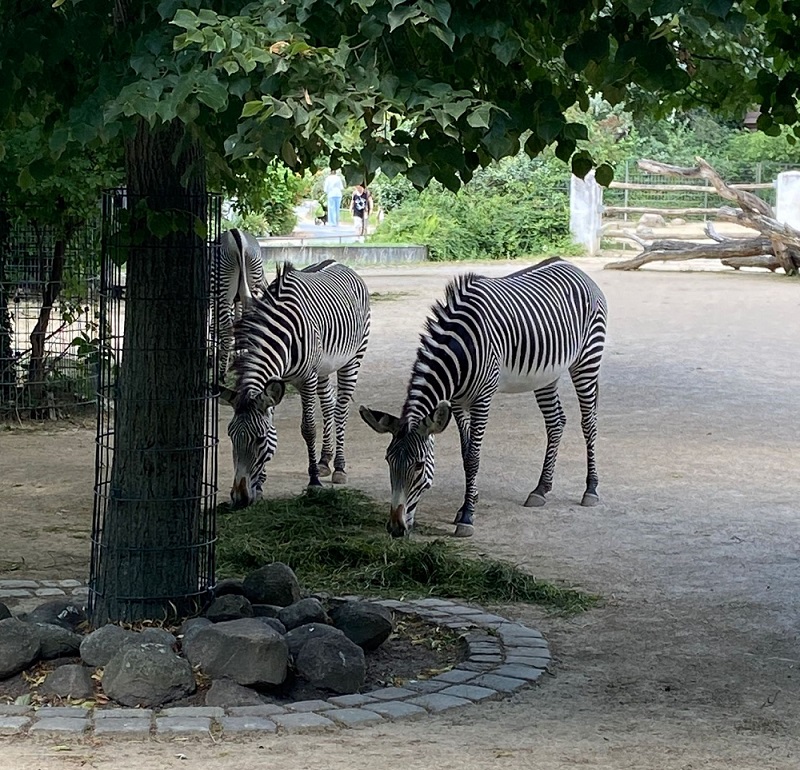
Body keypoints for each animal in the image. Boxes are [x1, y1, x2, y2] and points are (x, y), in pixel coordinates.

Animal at [212, 228, 266, 384]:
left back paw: (221, 374)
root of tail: (238, 235)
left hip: (223, 292)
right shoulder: (237, 300)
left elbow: (212, 326)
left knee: (227, 330)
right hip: (251, 285)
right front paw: (237, 354)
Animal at [222, 260, 372, 508]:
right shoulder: (277, 382)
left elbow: (308, 428)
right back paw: (325, 460)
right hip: (323, 367)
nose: (240, 498)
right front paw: (260, 486)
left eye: (260, 439)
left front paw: (313, 482)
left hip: (353, 357)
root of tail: (338, 262)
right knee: (329, 404)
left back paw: (339, 467)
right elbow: (273, 423)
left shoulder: (307, 378)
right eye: (231, 436)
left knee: (341, 409)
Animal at [360, 256, 608, 536]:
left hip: (587, 359)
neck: (460, 349)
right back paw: (541, 489)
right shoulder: (457, 403)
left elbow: (474, 458)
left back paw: (591, 489)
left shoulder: (482, 399)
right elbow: (465, 453)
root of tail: (572, 266)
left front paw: (467, 516)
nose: (395, 528)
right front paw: (466, 505)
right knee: (556, 423)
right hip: (546, 374)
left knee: (588, 423)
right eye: (387, 460)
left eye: (419, 465)